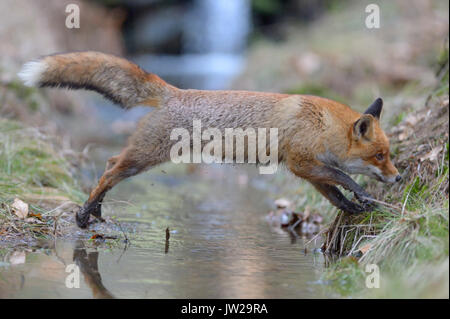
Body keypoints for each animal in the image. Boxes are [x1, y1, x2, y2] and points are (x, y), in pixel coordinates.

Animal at [18, 52, 400, 228]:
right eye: (380, 156)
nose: (398, 178)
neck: (321, 125)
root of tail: (175, 91)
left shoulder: (308, 171)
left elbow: (335, 193)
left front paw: (353, 206)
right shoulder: (302, 163)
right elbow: (344, 177)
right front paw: (363, 195)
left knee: (110, 165)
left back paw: (95, 210)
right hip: (147, 156)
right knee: (111, 168)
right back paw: (84, 213)